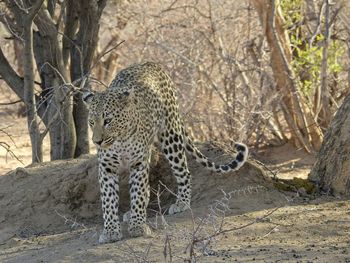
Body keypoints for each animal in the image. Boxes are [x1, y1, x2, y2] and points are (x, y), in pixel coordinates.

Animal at [82, 62, 247, 245]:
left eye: (108, 121)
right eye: (91, 122)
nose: (97, 142)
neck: (120, 140)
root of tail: (150, 63)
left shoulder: (138, 163)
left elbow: (138, 193)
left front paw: (138, 226)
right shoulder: (107, 166)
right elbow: (109, 199)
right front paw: (111, 231)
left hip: (170, 136)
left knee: (184, 172)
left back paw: (181, 203)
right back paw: (131, 213)